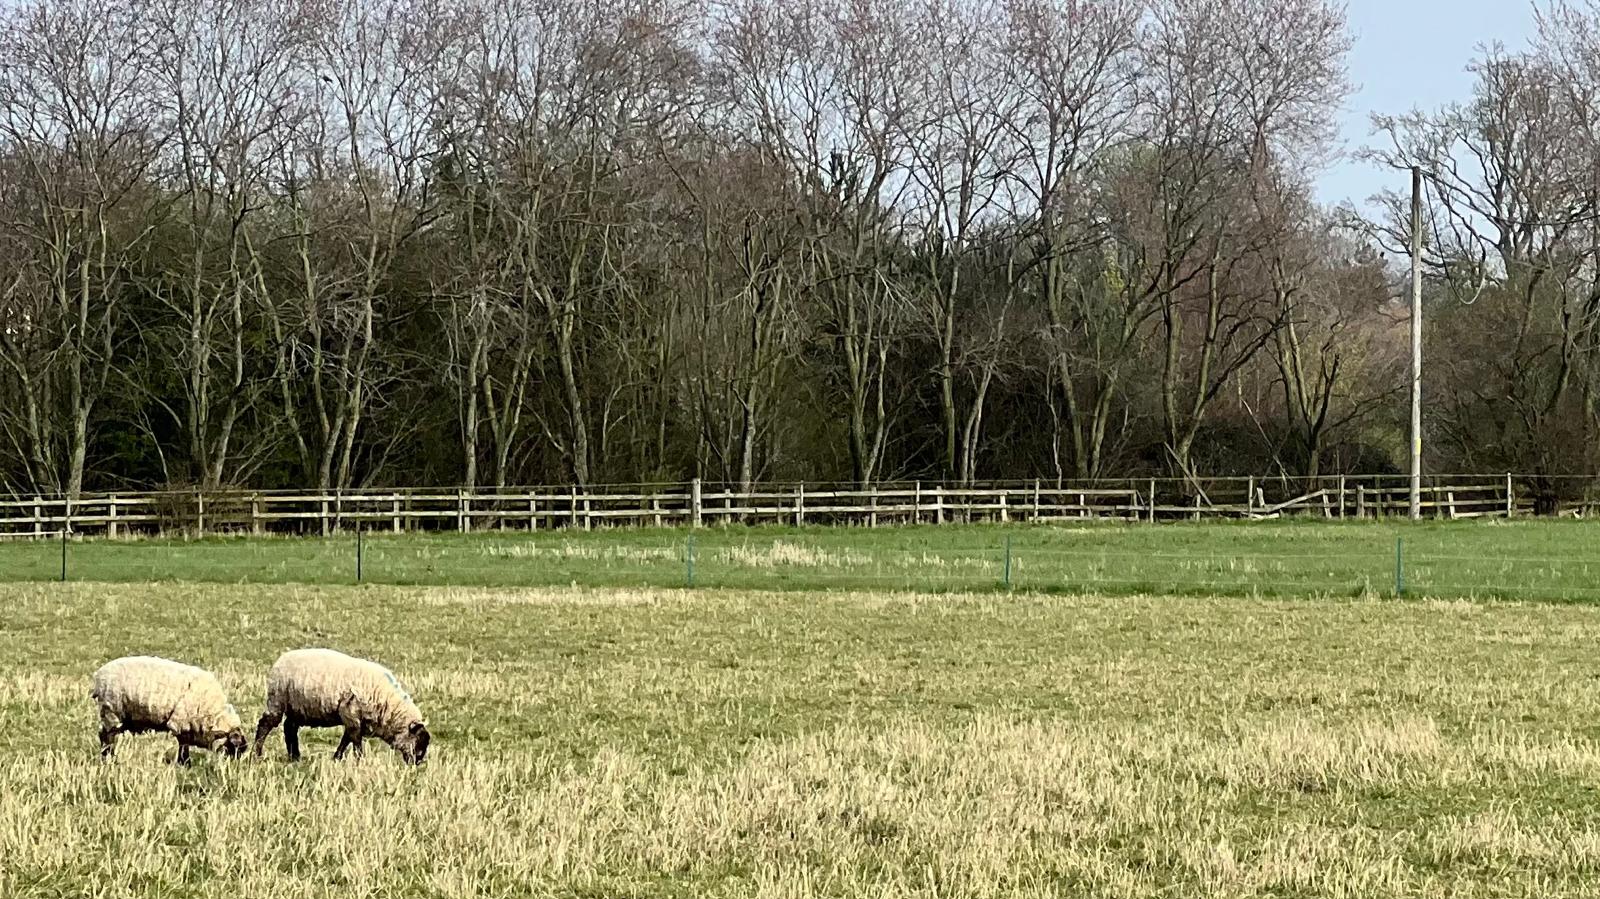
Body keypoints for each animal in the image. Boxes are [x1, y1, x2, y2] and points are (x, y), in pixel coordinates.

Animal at [90, 656, 248, 764]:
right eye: (233, 747)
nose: (235, 767)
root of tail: (98, 675)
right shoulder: (181, 723)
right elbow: (183, 745)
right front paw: (185, 764)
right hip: (111, 711)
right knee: (107, 736)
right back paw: (109, 759)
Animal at [252, 648, 430, 765]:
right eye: (417, 742)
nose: (416, 764)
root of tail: (280, 660)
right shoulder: (351, 714)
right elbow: (355, 740)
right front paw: (359, 760)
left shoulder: (354, 719)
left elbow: (347, 739)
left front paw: (337, 757)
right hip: (278, 699)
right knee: (265, 724)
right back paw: (257, 753)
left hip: (296, 707)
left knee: (290, 727)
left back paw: (294, 756)